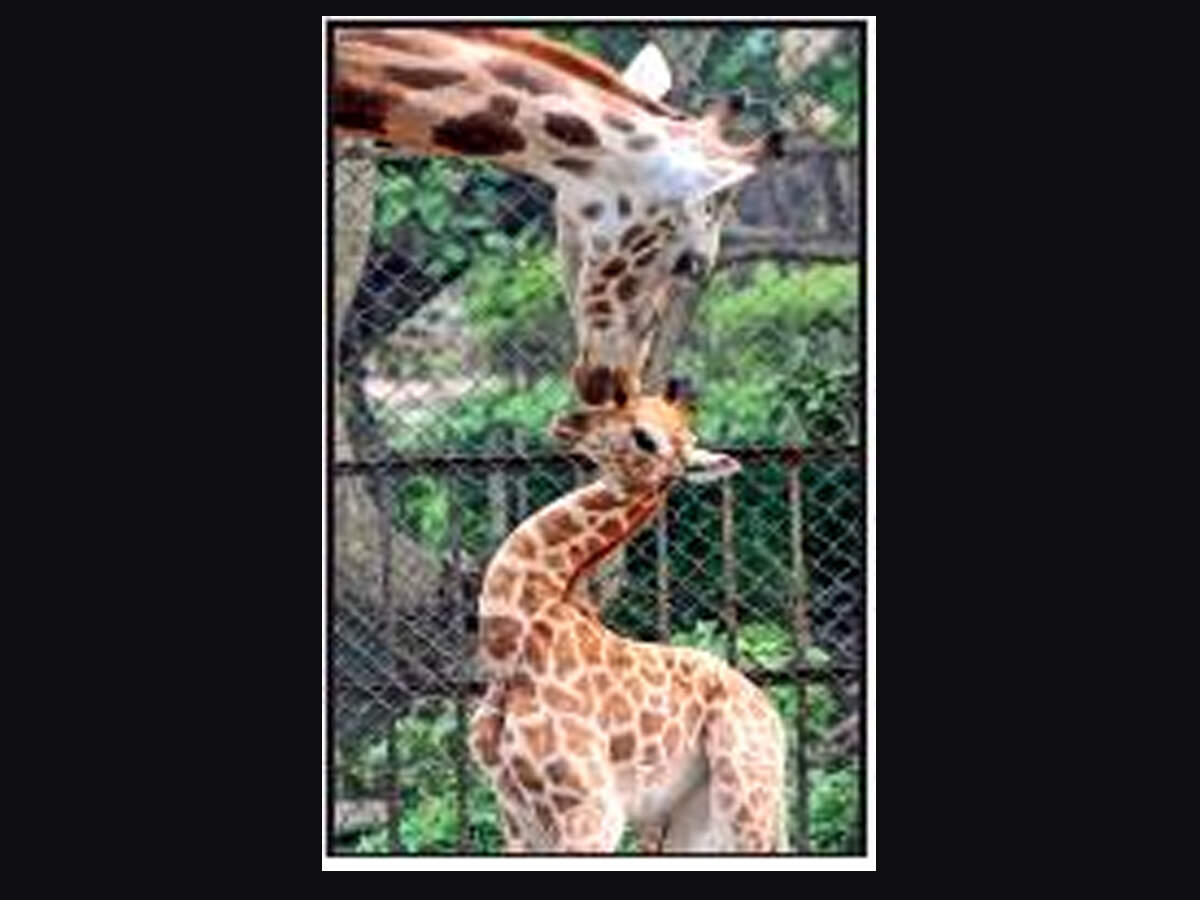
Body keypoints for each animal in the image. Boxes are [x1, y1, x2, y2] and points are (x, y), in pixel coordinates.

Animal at [467, 382, 789, 852]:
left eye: (646, 438)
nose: (569, 423)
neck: (514, 644)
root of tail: (773, 718)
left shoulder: (590, 808)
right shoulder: (515, 815)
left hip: (747, 795)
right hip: (687, 822)